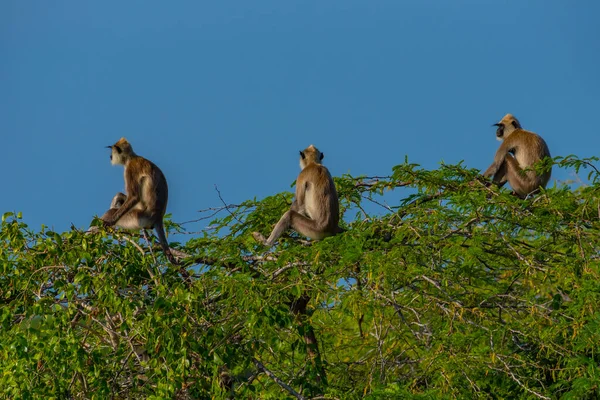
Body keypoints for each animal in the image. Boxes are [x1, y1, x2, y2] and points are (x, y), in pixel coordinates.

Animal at [98, 138, 177, 266]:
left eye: (112, 152)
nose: (110, 156)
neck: (132, 157)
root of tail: (158, 216)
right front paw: (118, 198)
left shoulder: (130, 168)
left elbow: (134, 197)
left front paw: (110, 222)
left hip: (138, 217)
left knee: (112, 212)